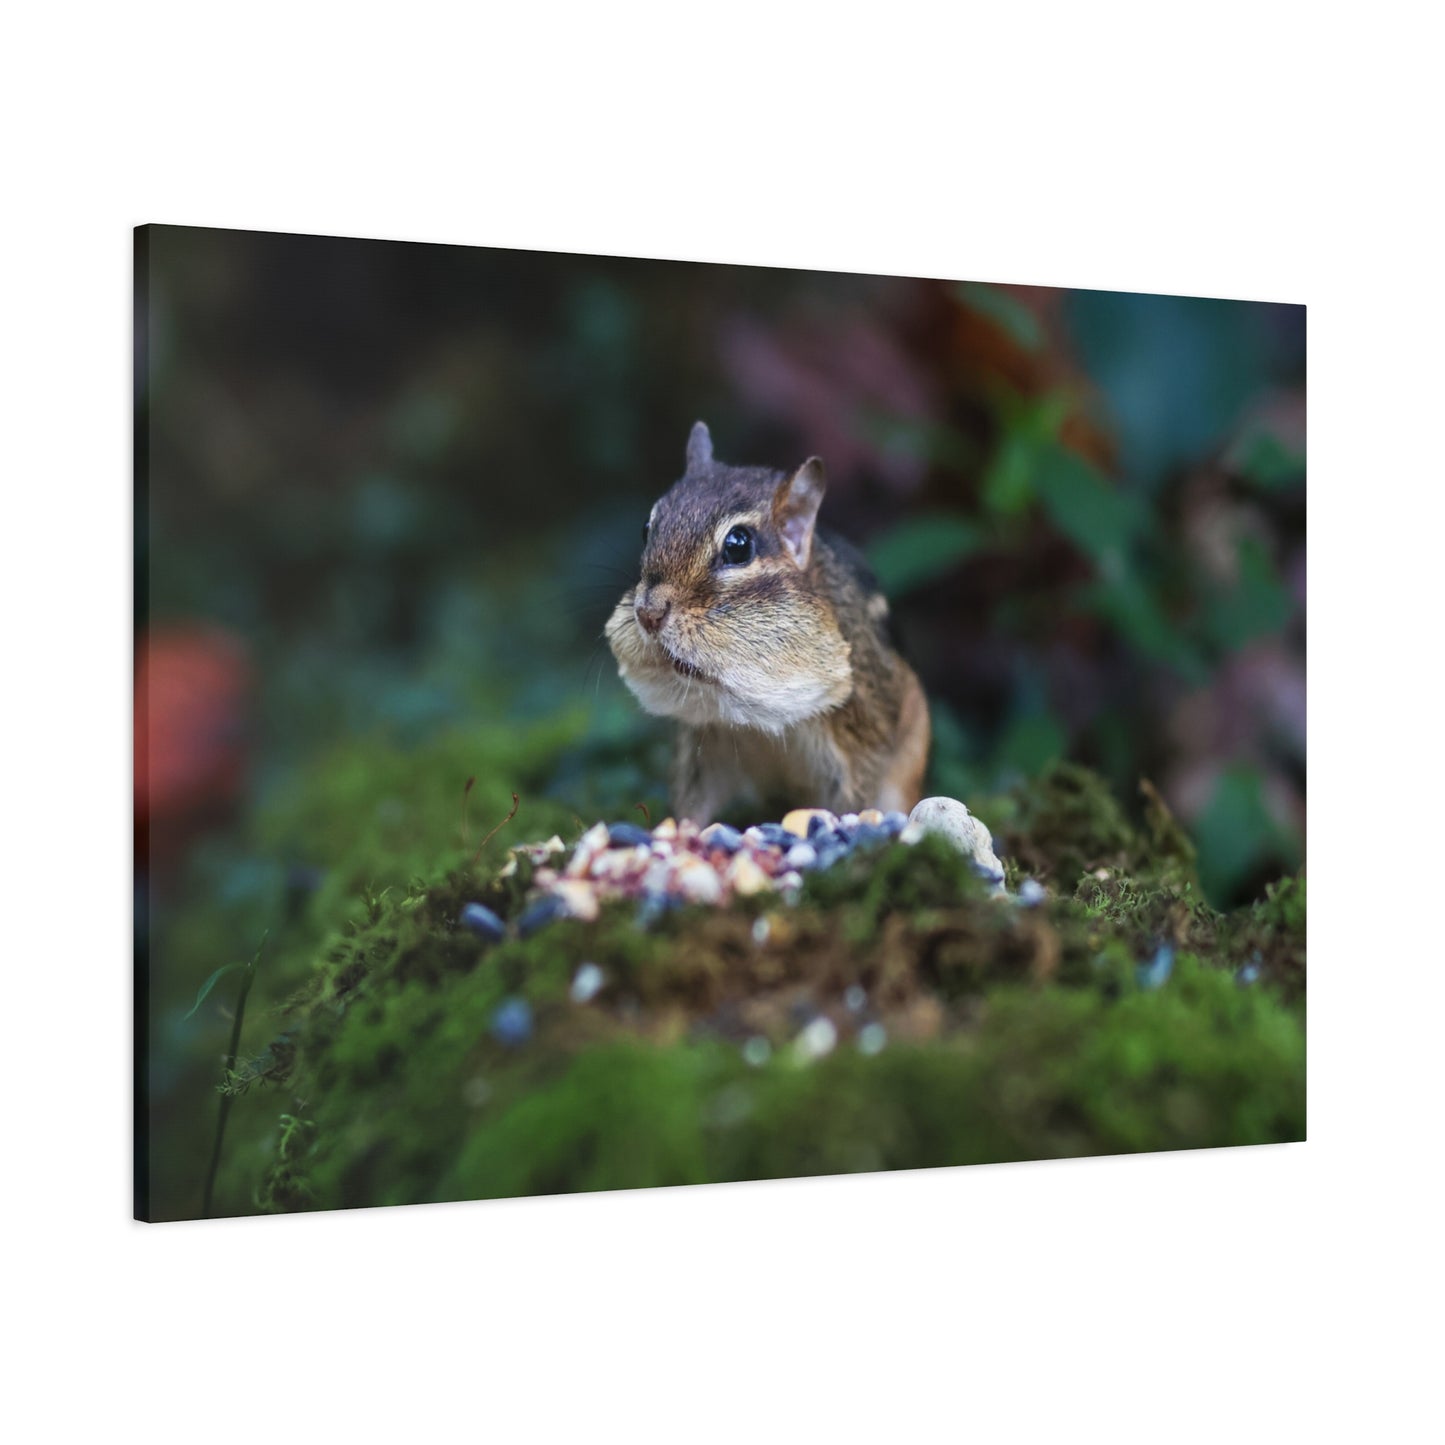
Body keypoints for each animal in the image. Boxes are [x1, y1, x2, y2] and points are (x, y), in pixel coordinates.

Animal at [605, 421, 930, 824]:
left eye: (738, 545)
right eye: (646, 528)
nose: (648, 614)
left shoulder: (860, 737)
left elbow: (854, 798)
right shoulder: (702, 743)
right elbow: (691, 803)